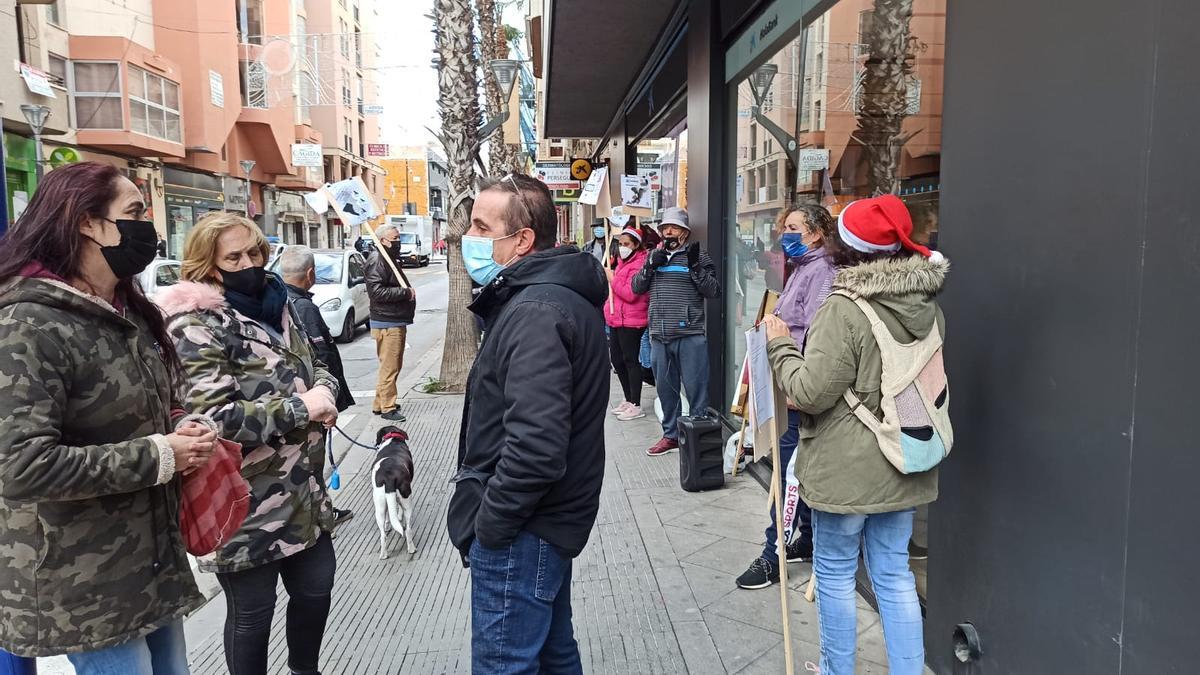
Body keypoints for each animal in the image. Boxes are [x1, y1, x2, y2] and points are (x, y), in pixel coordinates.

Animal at [372, 425, 415, 557]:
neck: (393, 438)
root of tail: (389, 476)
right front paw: (399, 517)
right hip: (407, 499)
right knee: (408, 529)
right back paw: (412, 549)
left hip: (379, 506)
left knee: (383, 535)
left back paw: (383, 554)